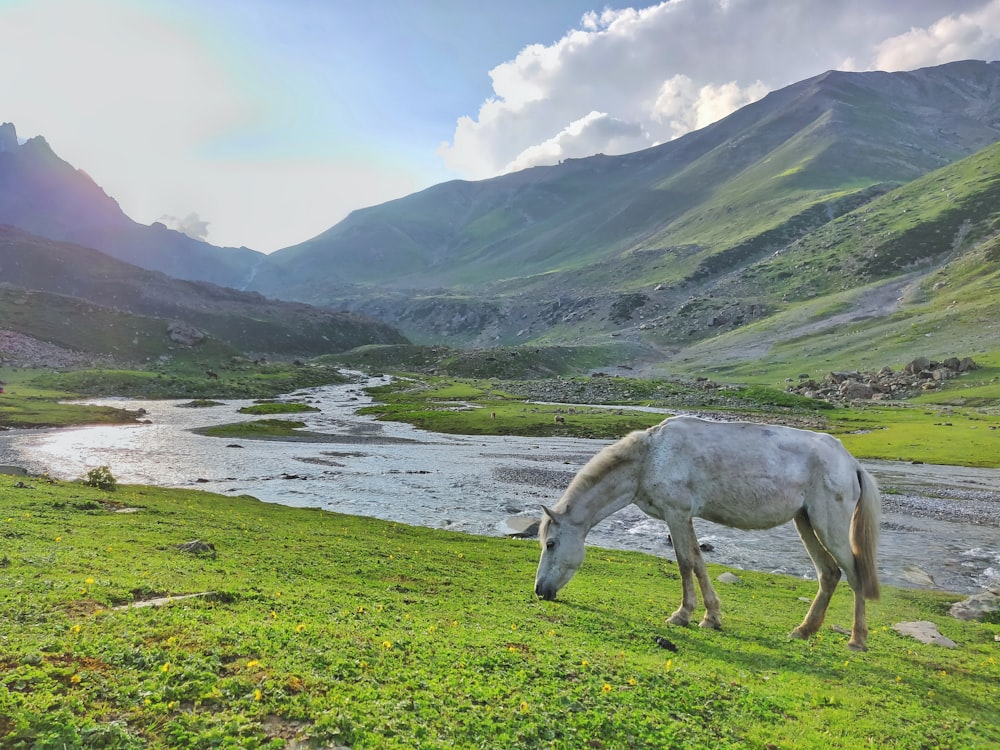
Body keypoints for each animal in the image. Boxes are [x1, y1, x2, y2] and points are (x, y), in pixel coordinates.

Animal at [536, 418, 880, 652]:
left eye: (551, 543)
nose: (540, 591)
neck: (650, 458)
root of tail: (851, 463)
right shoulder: (684, 516)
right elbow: (699, 564)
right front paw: (711, 617)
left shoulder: (676, 513)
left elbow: (685, 563)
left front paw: (682, 615)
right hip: (805, 521)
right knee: (829, 574)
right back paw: (803, 630)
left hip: (829, 525)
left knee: (854, 574)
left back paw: (856, 640)